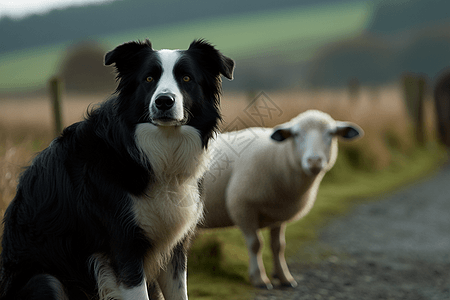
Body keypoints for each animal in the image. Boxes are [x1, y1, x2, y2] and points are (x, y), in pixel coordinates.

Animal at [0, 40, 236, 300]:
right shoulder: (123, 246)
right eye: (148, 79)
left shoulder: (174, 248)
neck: (157, 154)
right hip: (47, 280)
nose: (164, 101)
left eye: (186, 78)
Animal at [200, 109, 366, 288]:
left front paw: (284, 277)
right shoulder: (242, 207)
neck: (279, 157)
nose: (314, 161)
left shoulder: (278, 213)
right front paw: (259, 278)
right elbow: (255, 244)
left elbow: (278, 246)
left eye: (331, 133)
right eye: (296, 134)